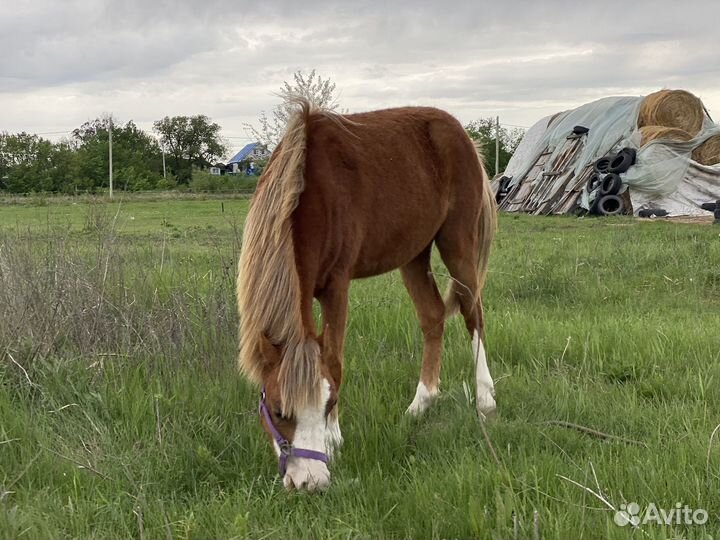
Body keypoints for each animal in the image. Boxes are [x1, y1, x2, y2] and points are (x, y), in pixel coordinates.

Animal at [237, 97, 497, 491]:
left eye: (329, 405)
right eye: (280, 411)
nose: (311, 483)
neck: (311, 192)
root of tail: (462, 135)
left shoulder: (337, 285)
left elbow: (335, 359)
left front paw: (334, 438)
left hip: (458, 244)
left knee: (473, 313)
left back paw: (485, 397)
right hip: (413, 255)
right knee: (432, 317)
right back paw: (420, 403)